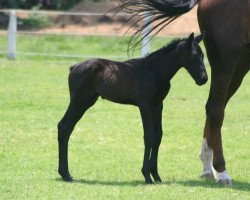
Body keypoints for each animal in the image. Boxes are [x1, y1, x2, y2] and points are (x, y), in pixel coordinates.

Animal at [58, 33, 207, 184]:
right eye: (193, 55)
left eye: (203, 55)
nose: (204, 79)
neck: (153, 71)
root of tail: (74, 67)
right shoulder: (144, 104)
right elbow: (149, 135)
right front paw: (147, 175)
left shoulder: (158, 105)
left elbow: (158, 135)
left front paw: (156, 176)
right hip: (79, 101)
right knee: (64, 126)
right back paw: (66, 174)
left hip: (86, 101)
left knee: (66, 127)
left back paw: (66, 173)